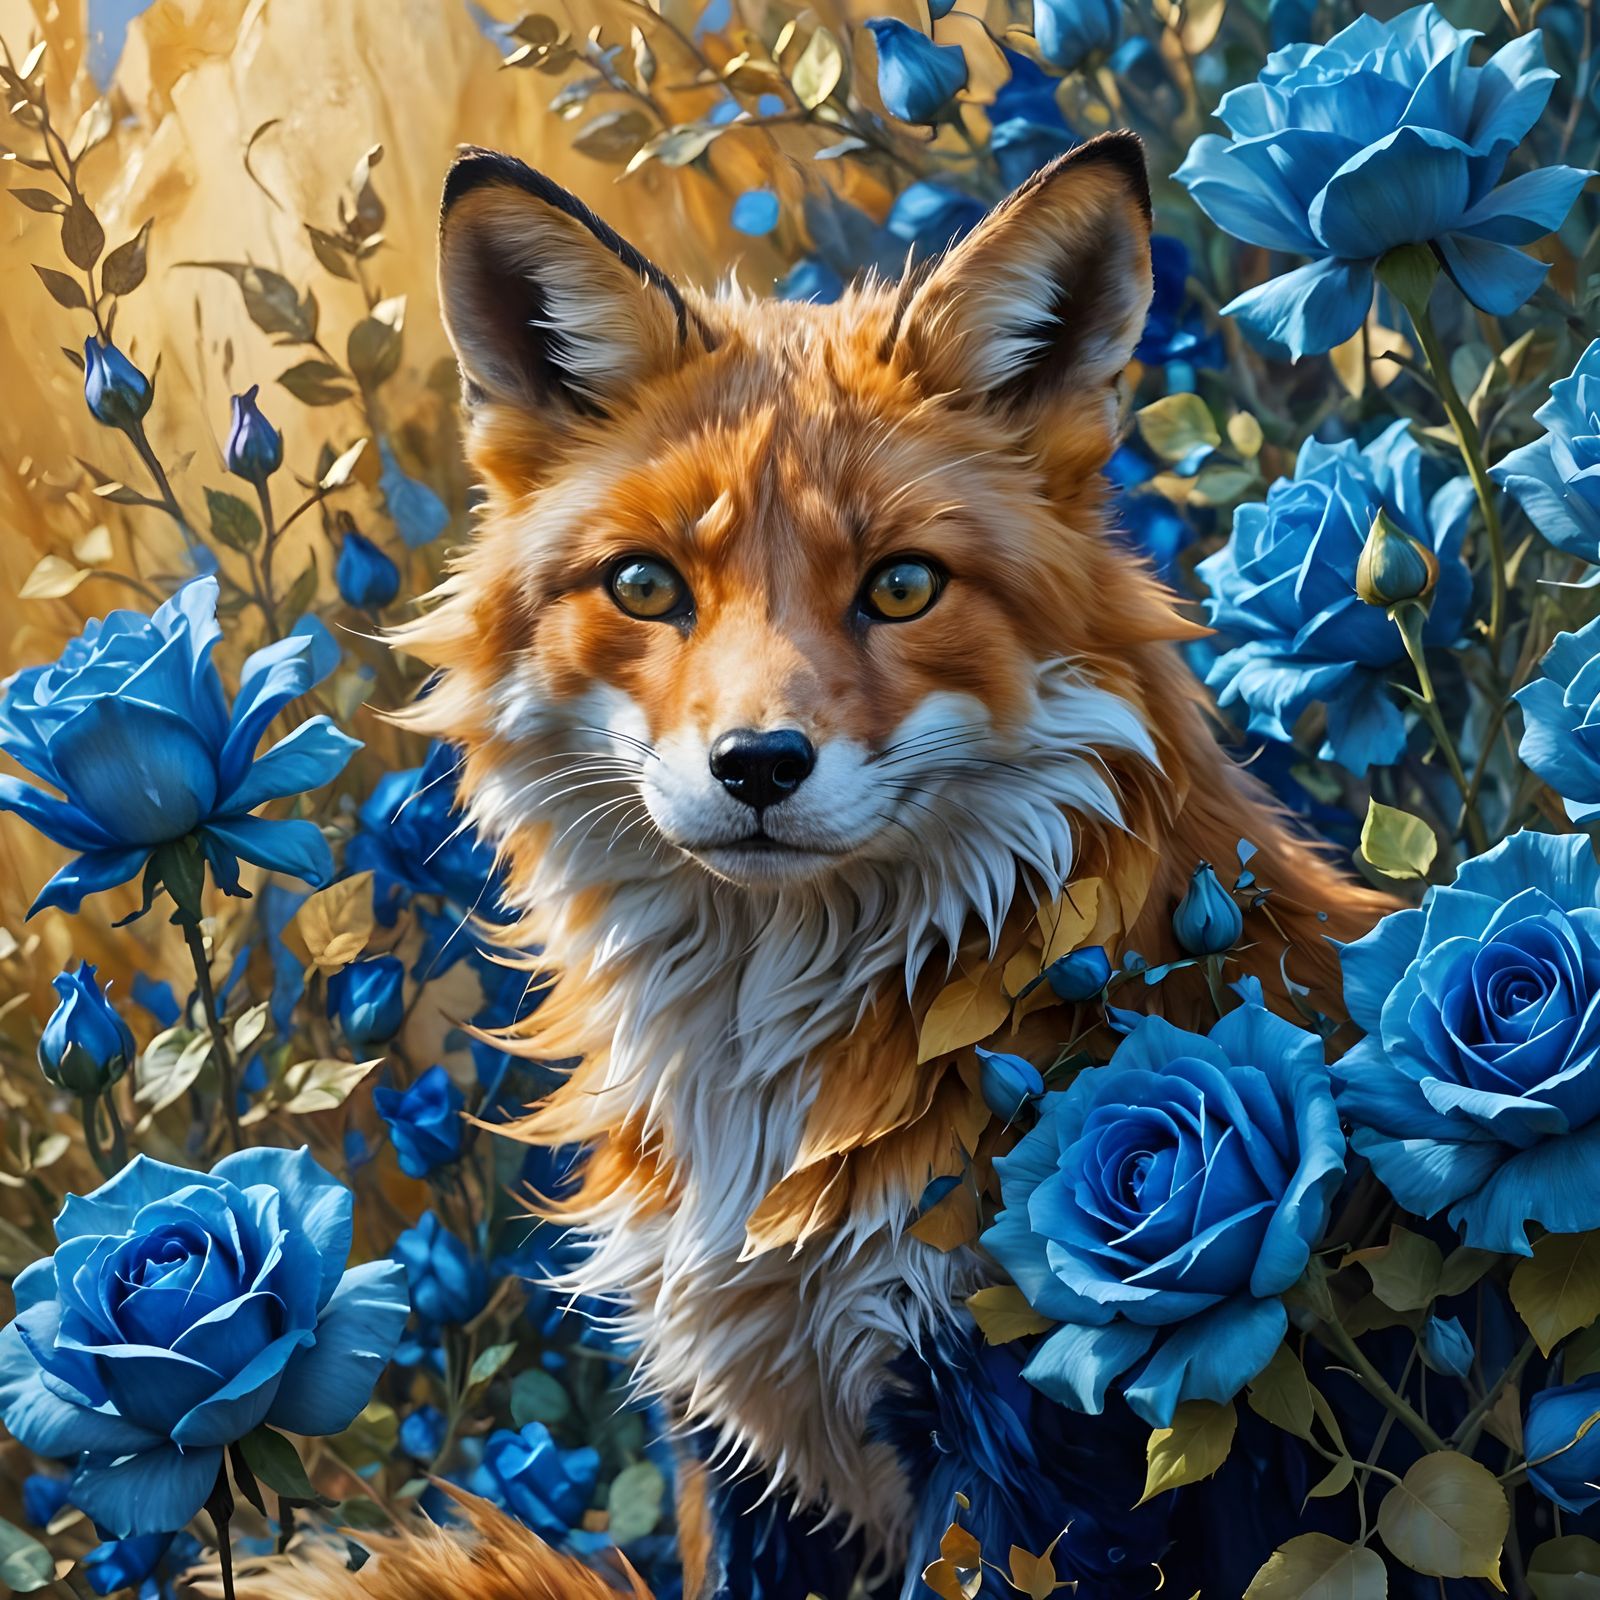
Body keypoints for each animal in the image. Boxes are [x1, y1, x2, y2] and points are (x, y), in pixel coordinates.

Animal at [254, 132, 1391, 1598]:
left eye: (901, 587)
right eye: (646, 587)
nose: (756, 766)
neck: (763, 1103)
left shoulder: (1030, 1442)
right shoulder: (732, 1437)